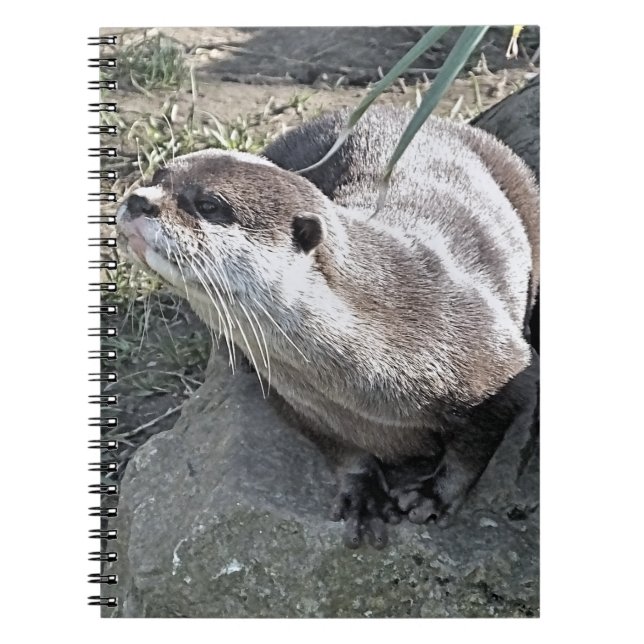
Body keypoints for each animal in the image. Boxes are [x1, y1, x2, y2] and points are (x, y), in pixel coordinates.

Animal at [116, 106, 539, 548]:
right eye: (158, 175)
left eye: (208, 204)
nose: (139, 199)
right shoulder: (293, 397)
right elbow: (337, 447)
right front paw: (363, 493)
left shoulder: (500, 361)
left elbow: (478, 442)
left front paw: (433, 495)